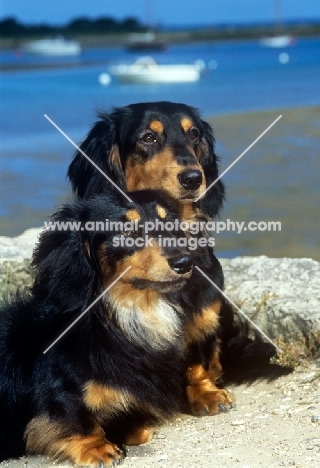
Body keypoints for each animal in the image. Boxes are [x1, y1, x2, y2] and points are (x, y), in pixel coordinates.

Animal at [0, 189, 230, 464]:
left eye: (170, 224)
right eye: (127, 231)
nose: (185, 262)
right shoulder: (58, 390)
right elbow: (73, 413)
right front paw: (97, 447)